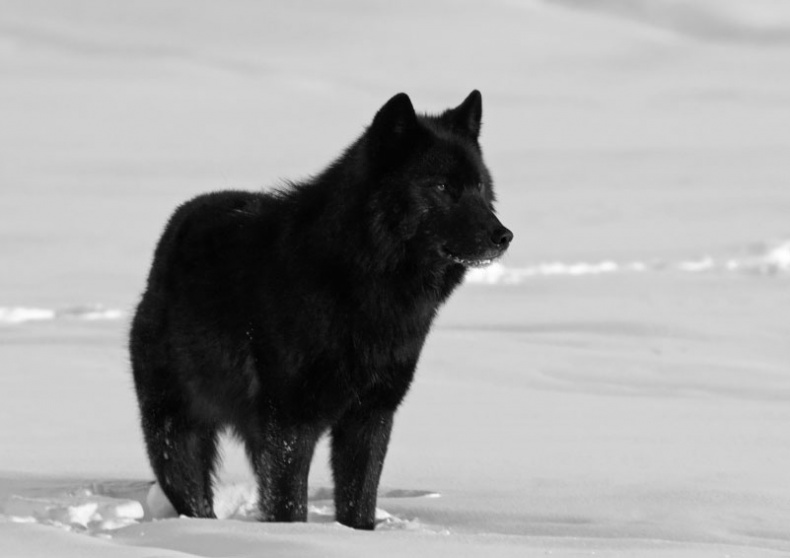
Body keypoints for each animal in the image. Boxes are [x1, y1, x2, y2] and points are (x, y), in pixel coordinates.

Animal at [130, 89, 512, 532]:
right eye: (442, 187)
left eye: (479, 186)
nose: (504, 236)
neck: (361, 280)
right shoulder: (290, 424)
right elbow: (289, 506)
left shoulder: (370, 417)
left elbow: (359, 503)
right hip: (177, 436)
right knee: (196, 499)